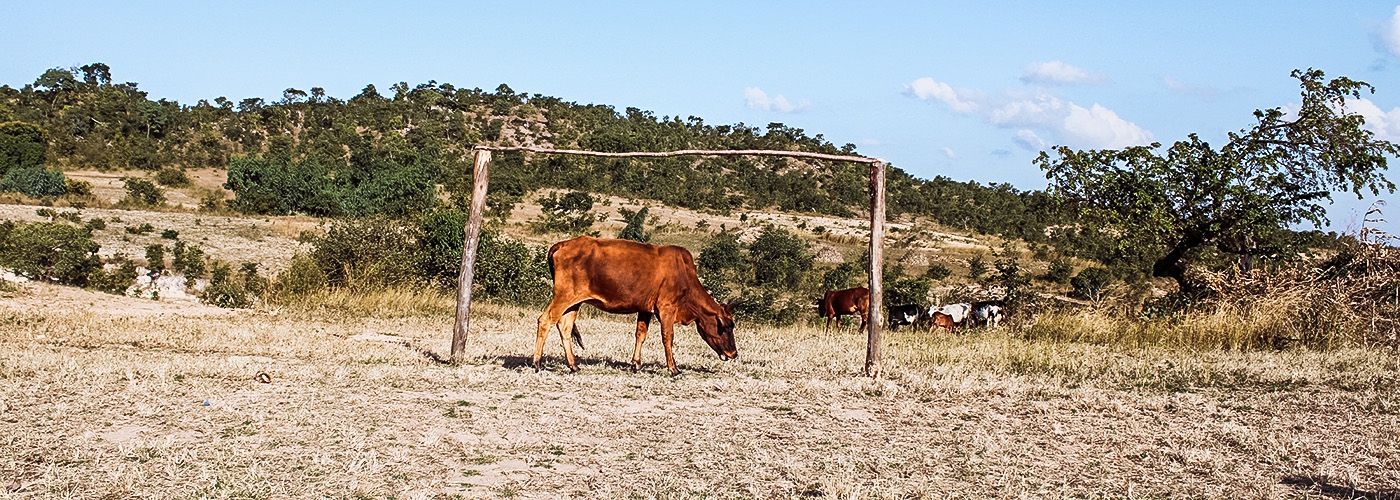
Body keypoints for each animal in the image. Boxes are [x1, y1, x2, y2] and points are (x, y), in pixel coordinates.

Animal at [532, 236, 739, 375]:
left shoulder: (645, 309)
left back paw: (573, 365)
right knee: (545, 320)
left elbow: (641, 335)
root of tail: (563, 244)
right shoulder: (666, 308)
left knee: (564, 327)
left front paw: (636, 364)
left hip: (574, 302)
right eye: (726, 327)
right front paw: (673, 368)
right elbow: (668, 337)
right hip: (564, 296)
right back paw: (537, 363)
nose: (734, 354)